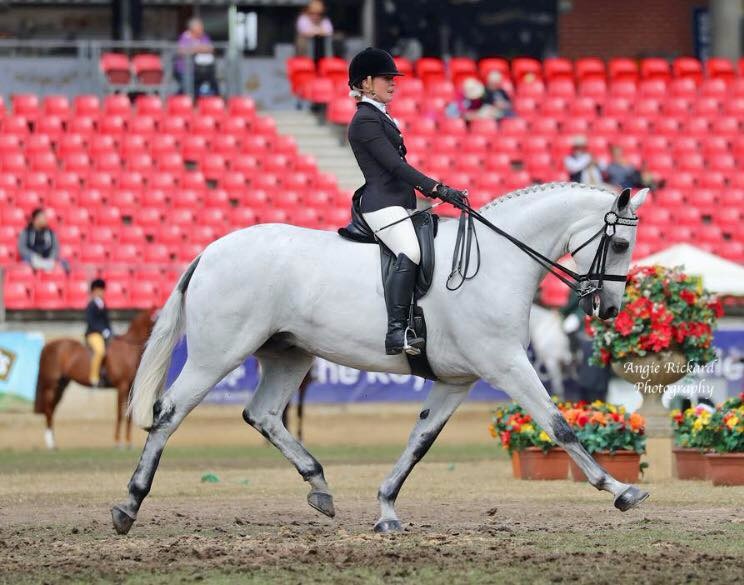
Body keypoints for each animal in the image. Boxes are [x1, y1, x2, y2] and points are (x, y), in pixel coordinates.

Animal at [34, 309, 156, 449]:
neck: (128, 348)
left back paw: (53, 442)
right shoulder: (122, 386)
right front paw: (118, 442)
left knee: (52, 409)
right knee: (49, 410)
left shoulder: (131, 387)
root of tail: (48, 346)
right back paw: (51, 444)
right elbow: (120, 414)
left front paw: (128, 442)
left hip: (61, 386)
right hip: (51, 385)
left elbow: (129, 416)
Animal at [112, 182, 650, 536]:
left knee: (261, 413)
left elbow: (420, 440)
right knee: (168, 413)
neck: (498, 261)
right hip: (216, 354)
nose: (609, 309)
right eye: (621, 243)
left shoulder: (457, 380)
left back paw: (319, 486)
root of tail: (210, 252)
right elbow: (559, 425)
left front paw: (387, 508)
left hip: (289, 355)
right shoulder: (506, 365)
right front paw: (619, 488)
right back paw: (129, 505)